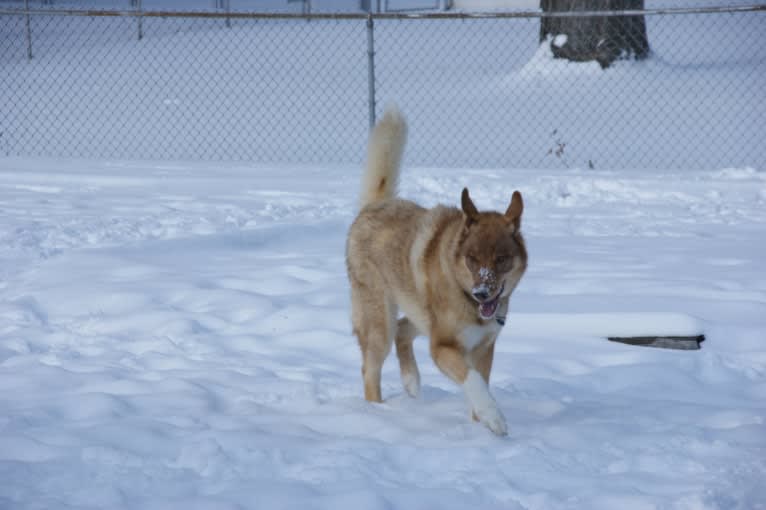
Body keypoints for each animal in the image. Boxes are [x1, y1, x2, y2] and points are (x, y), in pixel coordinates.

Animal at [348, 106, 528, 434]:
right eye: (472, 258)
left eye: (502, 259)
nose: (482, 293)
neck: (465, 297)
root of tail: (373, 207)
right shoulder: (443, 346)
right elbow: (474, 383)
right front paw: (494, 418)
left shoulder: (483, 348)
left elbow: (479, 383)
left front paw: (479, 424)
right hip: (379, 320)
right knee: (370, 368)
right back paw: (378, 413)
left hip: (420, 314)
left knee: (403, 331)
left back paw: (411, 382)